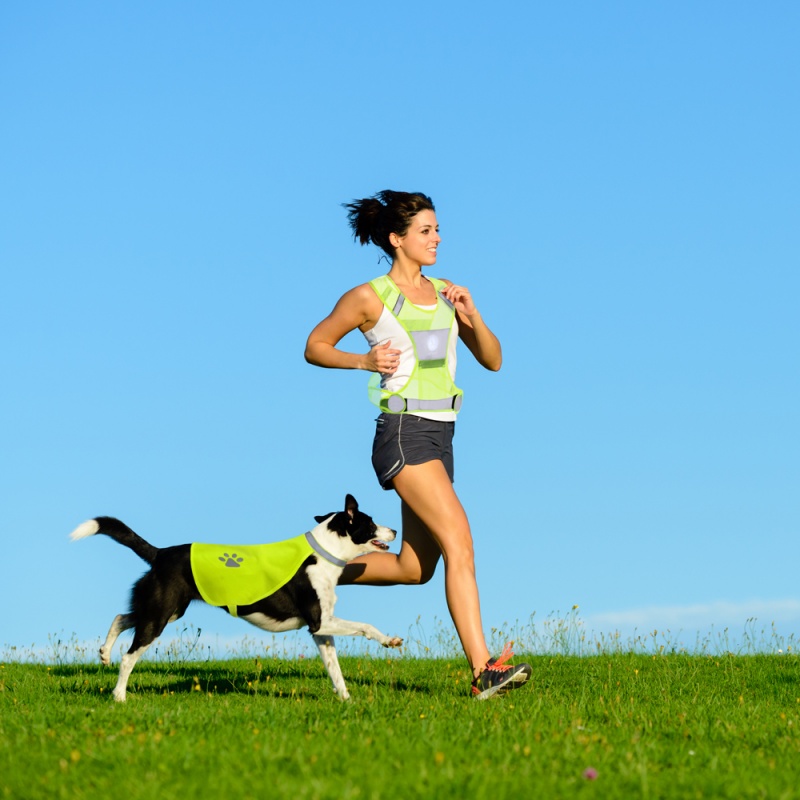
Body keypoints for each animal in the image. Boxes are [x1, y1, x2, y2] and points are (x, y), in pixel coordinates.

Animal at [69, 494, 404, 700]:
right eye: (371, 522)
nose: (395, 530)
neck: (323, 553)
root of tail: (160, 553)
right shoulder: (320, 622)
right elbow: (366, 626)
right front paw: (390, 640)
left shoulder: (321, 631)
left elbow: (335, 671)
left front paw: (346, 700)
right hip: (160, 615)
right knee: (129, 657)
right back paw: (119, 696)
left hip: (166, 609)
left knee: (121, 618)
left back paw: (104, 653)